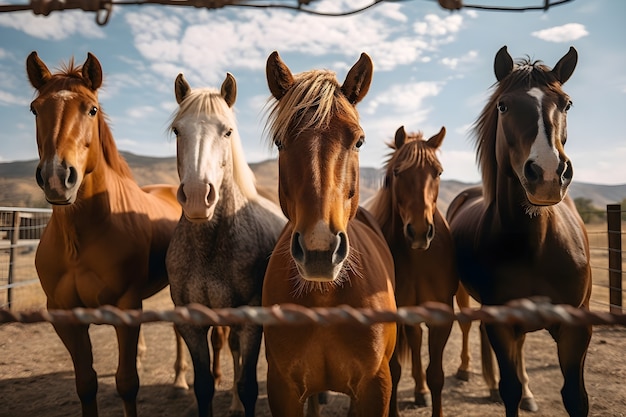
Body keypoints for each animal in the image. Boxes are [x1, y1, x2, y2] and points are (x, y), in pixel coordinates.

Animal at [26, 52, 186, 416]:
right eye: (35, 109)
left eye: (92, 109)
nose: (57, 177)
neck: (78, 240)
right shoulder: (64, 317)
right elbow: (85, 383)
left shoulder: (126, 309)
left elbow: (127, 383)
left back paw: (180, 381)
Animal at [163, 72, 286, 416]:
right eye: (177, 130)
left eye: (227, 131)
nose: (195, 196)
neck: (209, 249)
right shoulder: (192, 323)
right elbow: (204, 386)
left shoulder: (252, 321)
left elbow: (248, 385)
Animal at [260, 52, 394, 416]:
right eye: (280, 142)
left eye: (359, 140)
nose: (319, 251)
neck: (325, 298)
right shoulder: (283, 389)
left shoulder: (375, 387)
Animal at [364, 127, 456, 416]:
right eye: (397, 172)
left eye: (438, 172)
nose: (419, 232)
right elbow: (393, 371)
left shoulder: (442, 316)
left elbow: (436, 374)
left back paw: (421, 391)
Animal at [444, 45, 588, 416]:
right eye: (503, 105)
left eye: (567, 103)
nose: (549, 174)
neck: (536, 245)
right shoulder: (501, 323)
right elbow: (509, 389)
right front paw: (504, 388)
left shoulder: (576, 328)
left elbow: (575, 398)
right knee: (467, 324)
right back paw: (467, 371)